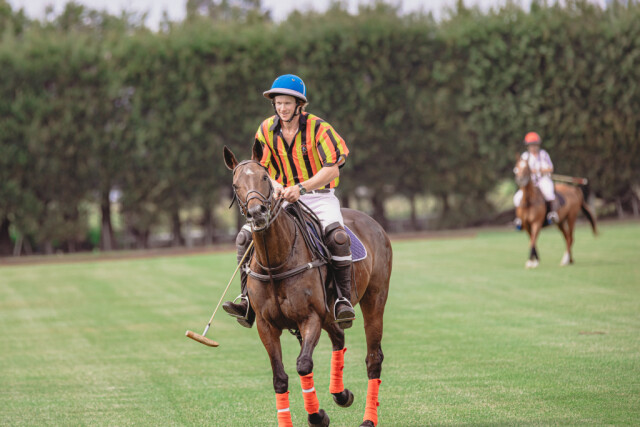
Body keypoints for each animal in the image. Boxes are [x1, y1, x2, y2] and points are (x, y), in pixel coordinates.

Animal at [223, 142, 392, 427]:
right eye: (235, 185)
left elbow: (303, 365)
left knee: (373, 358)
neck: (276, 263)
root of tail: (372, 222)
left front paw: (317, 416)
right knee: (339, 337)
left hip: (374, 299)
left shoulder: (310, 316)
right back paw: (341, 394)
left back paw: (368, 419)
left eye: (265, 177)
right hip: (329, 313)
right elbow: (279, 378)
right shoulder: (266, 325)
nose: (257, 213)